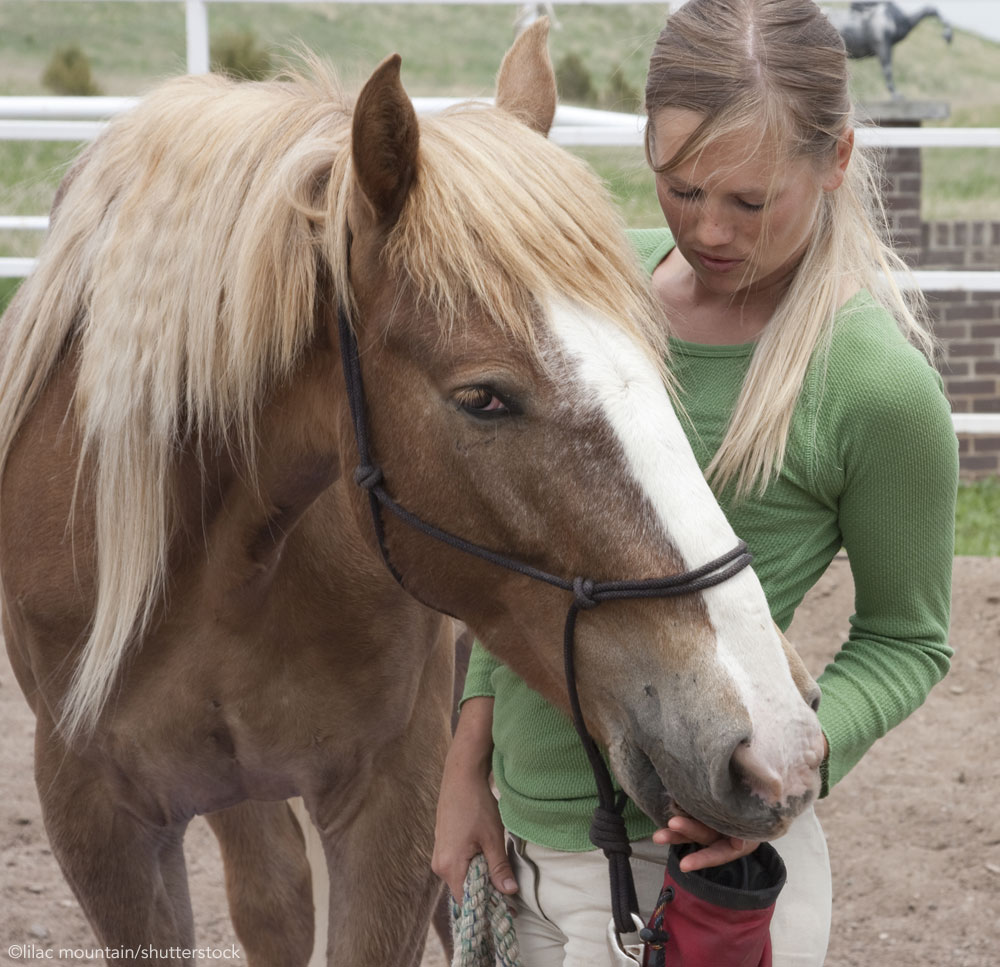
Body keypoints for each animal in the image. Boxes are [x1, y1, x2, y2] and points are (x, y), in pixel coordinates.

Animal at [0, 22, 824, 967]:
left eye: (659, 356)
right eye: (484, 397)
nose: (775, 740)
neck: (219, 568)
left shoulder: (398, 795)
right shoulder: (99, 820)